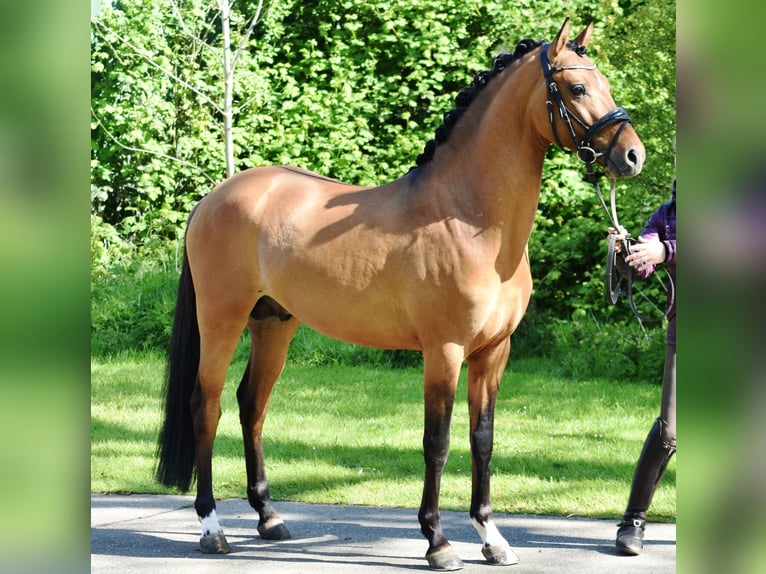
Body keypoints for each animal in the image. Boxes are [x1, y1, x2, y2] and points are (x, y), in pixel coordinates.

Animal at [158, 18, 648, 572]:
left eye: (604, 81)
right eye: (578, 87)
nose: (633, 155)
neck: (470, 219)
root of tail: (214, 198)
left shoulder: (493, 353)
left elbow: (482, 439)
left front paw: (492, 537)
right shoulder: (444, 351)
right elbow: (437, 442)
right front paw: (438, 542)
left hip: (273, 323)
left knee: (251, 404)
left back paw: (269, 518)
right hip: (222, 319)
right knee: (207, 405)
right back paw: (212, 527)